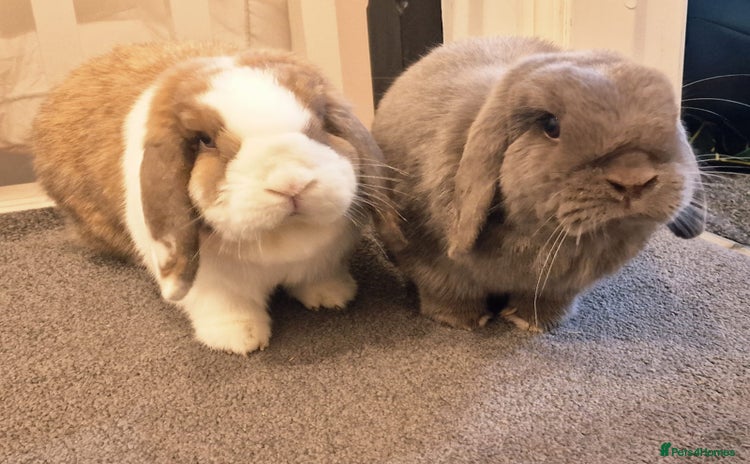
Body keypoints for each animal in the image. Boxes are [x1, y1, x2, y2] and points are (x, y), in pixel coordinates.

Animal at [33, 42, 401, 354]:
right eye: (205, 140)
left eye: (321, 121)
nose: (291, 183)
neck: (282, 240)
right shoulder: (211, 285)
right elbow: (225, 306)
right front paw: (240, 339)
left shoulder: (324, 258)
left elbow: (319, 275)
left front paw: (332, 296)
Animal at [371, 36, 705, 332]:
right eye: (551, 125)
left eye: (671, 117)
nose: (634, 180)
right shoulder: (430, 260)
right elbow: (447, 290)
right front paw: (463, 321)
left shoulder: (561, 286)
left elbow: (545, 299)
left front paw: (534, 323)